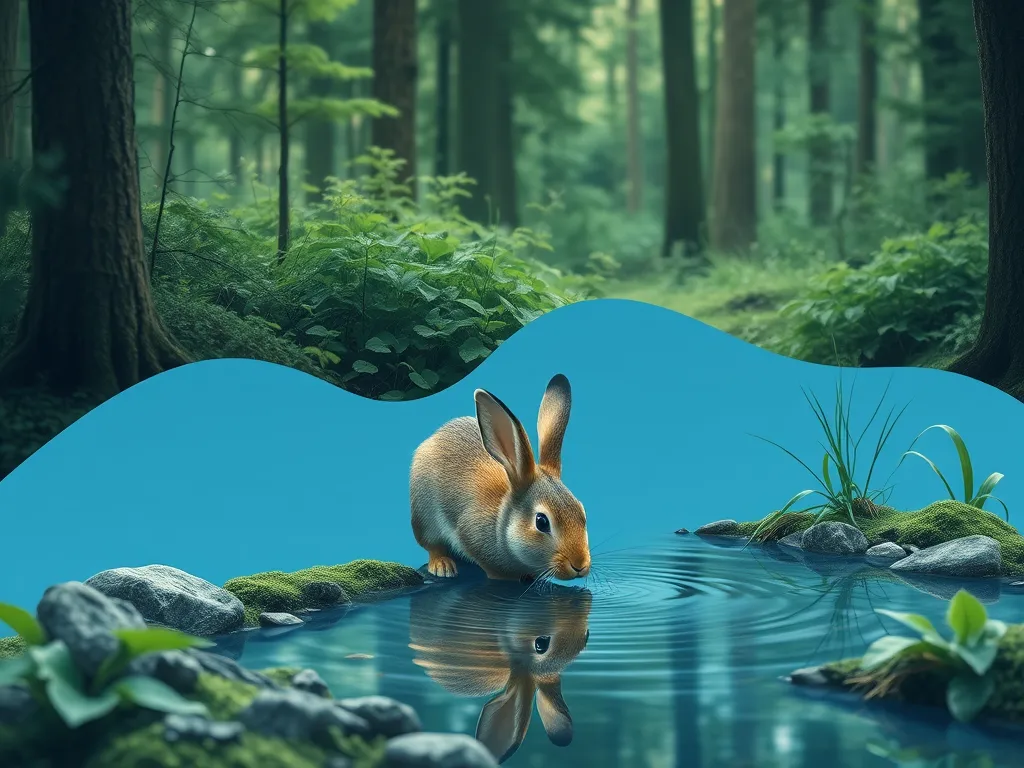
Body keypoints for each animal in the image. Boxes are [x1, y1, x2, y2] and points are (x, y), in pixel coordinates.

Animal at [410, 373, 591, 582]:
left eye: (582, 512)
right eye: (541, 522)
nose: (579, 565)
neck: (501, 523)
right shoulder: (470, 533)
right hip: (424, 514)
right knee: (433, 546)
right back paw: (442, 565)